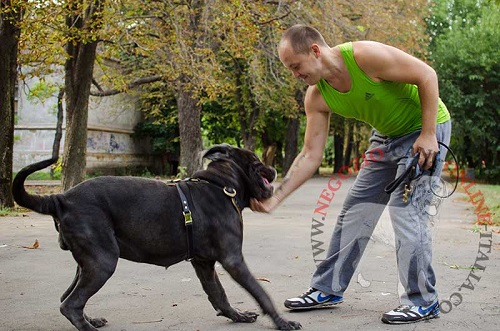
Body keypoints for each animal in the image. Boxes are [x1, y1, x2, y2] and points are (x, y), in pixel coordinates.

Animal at [12, 145, 300, 331]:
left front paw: (236, 315)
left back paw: (91, 320)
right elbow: (261, 293)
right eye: (255, 160)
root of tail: (61, 199)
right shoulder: (233, 260)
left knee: (67, 298)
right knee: (70, 304)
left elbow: (218, 293)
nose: (274, 170)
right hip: (102, 262)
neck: (223, 185)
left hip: (87, 263)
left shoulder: (203, 263)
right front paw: (283, 322)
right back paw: (89, 327)